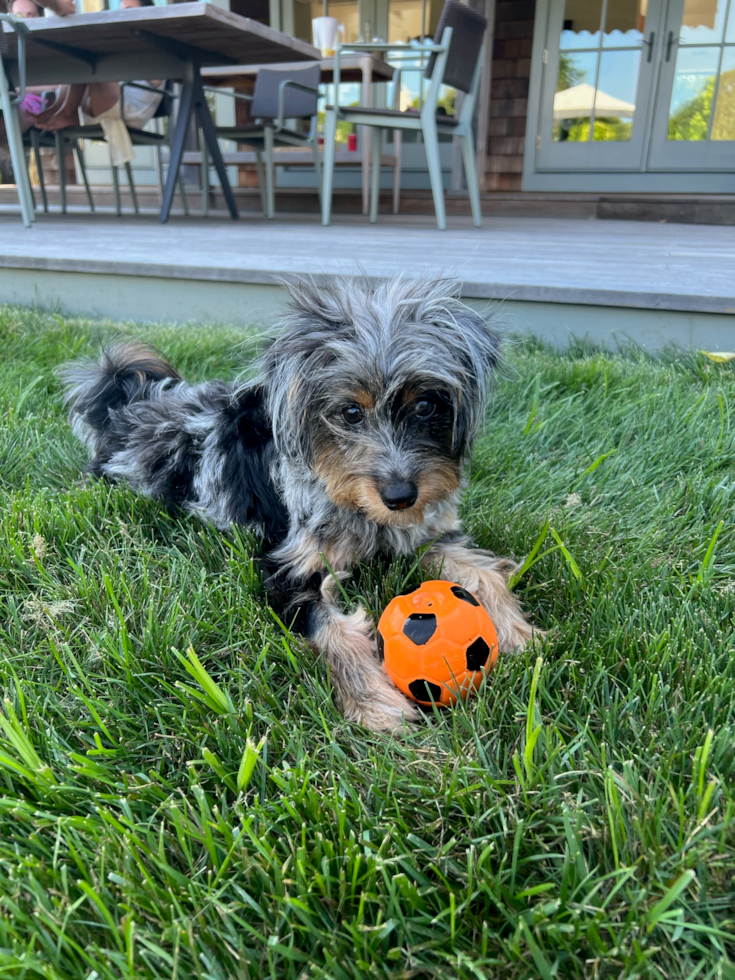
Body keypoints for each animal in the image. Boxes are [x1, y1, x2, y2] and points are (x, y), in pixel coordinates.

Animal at [61, 274, 536, 728]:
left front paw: (518, 632)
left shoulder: (428, 533)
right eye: (350, 412)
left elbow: (482, 572)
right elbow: (329, 628)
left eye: (424, 406)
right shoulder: (285, 566)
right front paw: (374, 701)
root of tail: (127, 406)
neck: (357, 508)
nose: (401, 497)